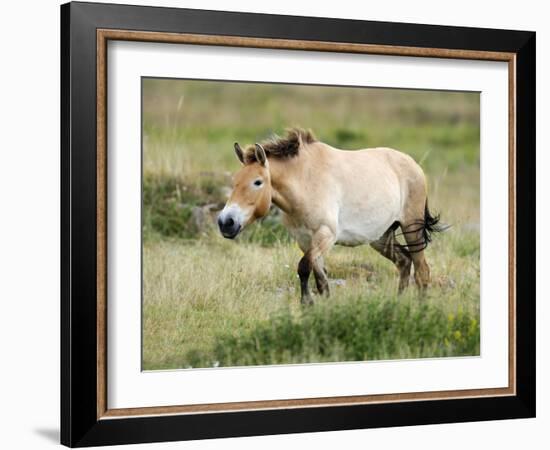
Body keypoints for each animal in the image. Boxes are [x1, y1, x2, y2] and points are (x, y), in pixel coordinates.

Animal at [218, 128, 446, 304]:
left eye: (257, 182)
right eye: (235, 181)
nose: (225, 222)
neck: (305, 181)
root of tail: (415, 166)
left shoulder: (325, 236)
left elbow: (303, 268)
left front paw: (306, 304)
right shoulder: (305, 240)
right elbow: (321, 282)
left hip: (411, 228)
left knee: (422, 271)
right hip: (381, 237)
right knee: (404, 262)